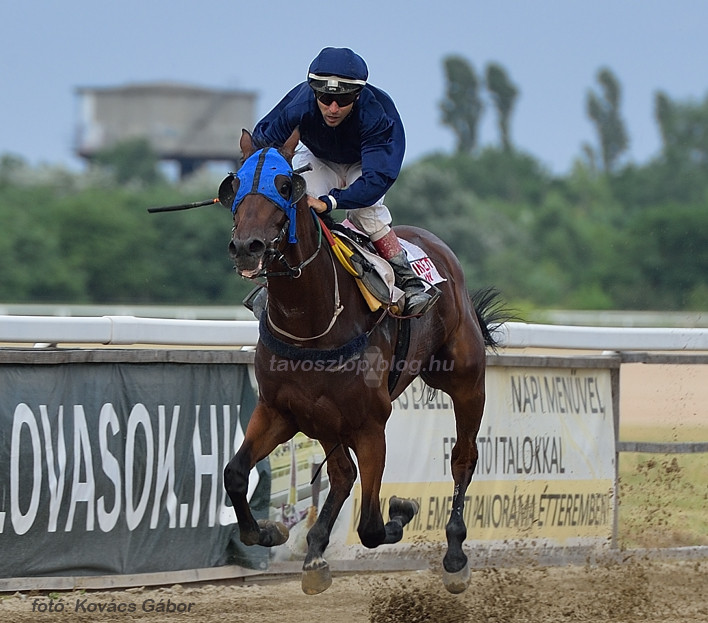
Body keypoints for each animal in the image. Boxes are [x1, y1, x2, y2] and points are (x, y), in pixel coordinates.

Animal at [224, 128, 506, 596]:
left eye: (285, 185)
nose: (248, 246)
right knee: (341, 473)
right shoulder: (280, 410)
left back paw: (454, 555)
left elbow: (372, 525)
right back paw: (315, 549)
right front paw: (269, 531)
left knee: (462, 458)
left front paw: (403, 510)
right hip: (323, 418)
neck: (311, 321)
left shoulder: (370, 424)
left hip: (466, 383)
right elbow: (235, 473)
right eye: (235, 184)